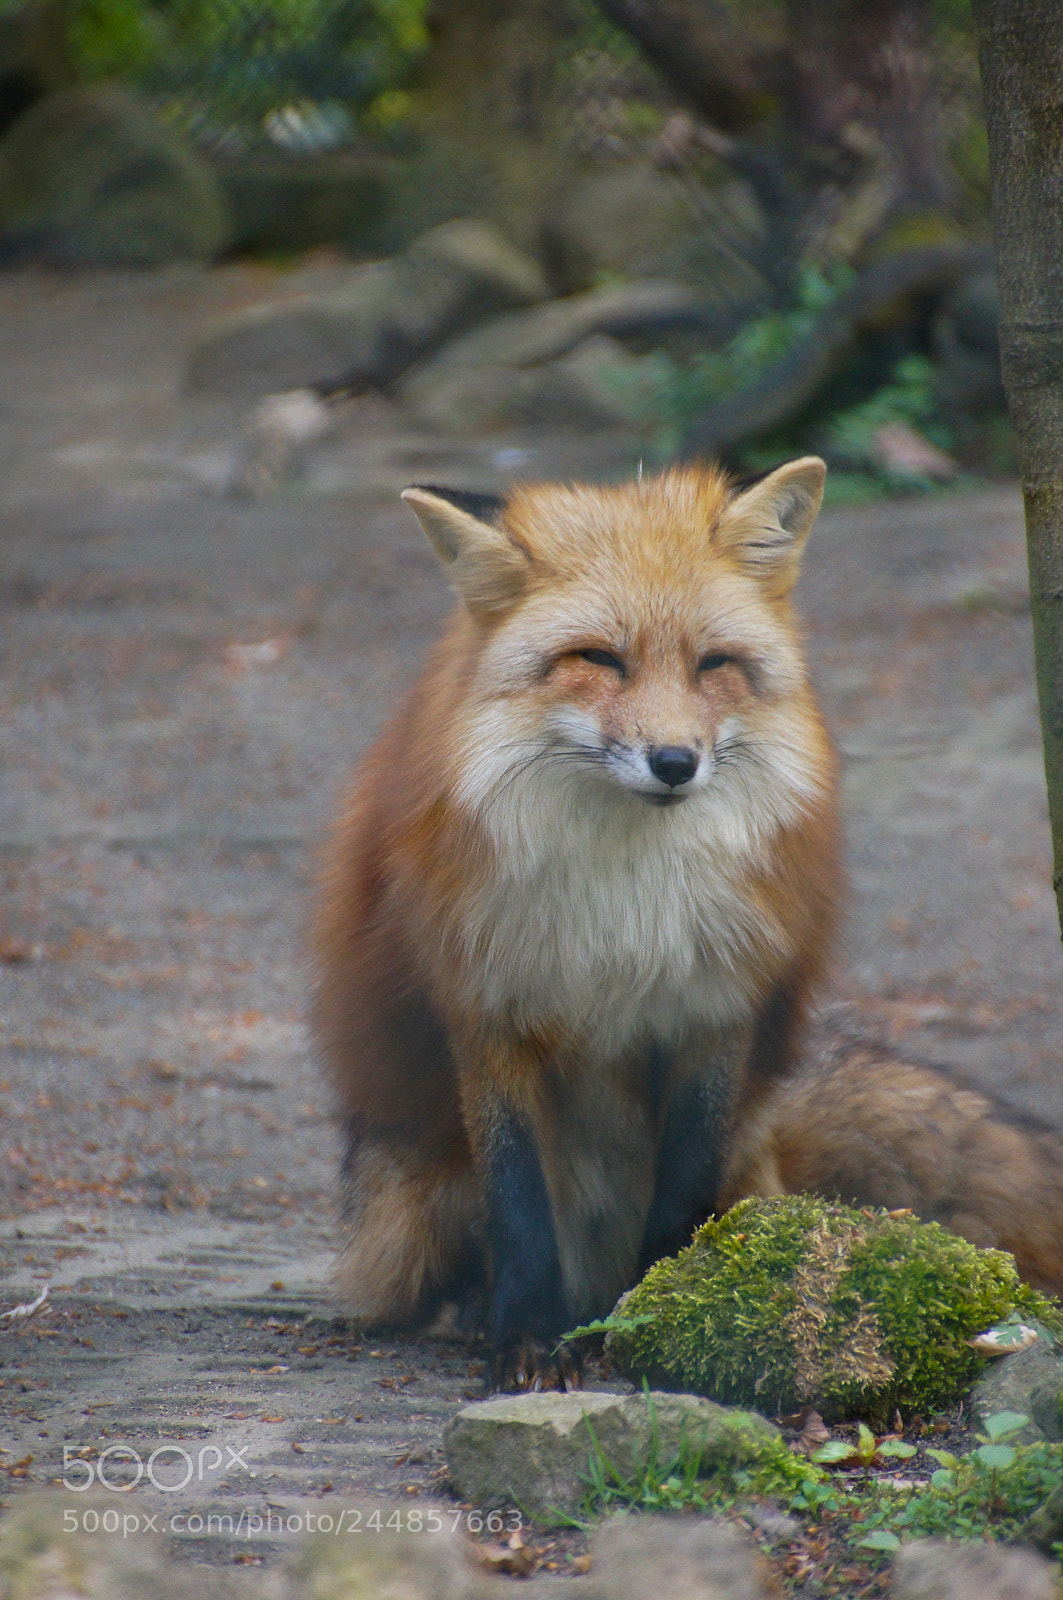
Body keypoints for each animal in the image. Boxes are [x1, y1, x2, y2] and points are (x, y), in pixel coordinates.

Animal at [312, 457, 841, 1388]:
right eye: (597, 659)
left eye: (713, 664)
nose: (674, 762)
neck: (623, 901)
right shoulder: (490, 1010)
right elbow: (518, 1200)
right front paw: (525, 1335)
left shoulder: (712, 1014)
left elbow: (681, 1187)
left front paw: (659, 1320)